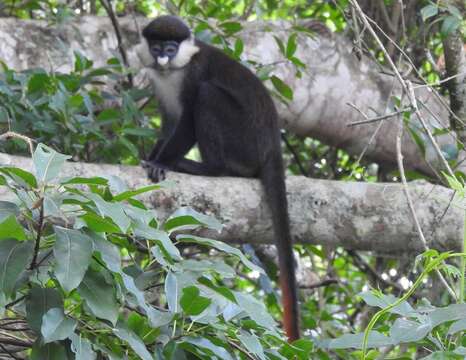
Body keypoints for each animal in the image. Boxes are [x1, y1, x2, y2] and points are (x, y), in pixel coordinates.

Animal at [139, 14, 298, 340]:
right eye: (157, 46)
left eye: (172, 48)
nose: (163, 58)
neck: (174, 72)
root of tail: (272, 146)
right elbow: (169, 124)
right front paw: (155, 155)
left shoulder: (193, 74)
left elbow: (186, 121)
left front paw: (162, 162)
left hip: (243, 140)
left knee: (208, 95)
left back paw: (207, 168)